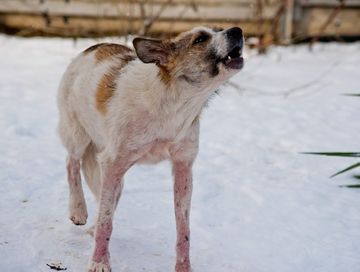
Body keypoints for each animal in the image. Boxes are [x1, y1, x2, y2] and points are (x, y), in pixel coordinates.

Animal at [57, 26, 245, 272]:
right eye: (200, 39)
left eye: (219, 29)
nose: (237, 30)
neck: (175, 102)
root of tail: (91, 48)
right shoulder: (113, 163)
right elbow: (106, 223)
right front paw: (99, 262)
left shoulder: (183, 168)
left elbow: (183, 229)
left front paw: (183, 267)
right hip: (78, 137)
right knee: (71, 164)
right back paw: (78, 209)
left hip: (114, 176)